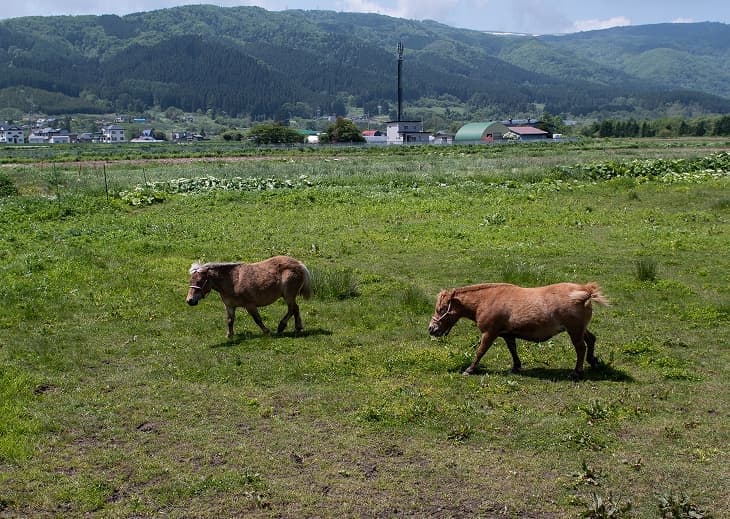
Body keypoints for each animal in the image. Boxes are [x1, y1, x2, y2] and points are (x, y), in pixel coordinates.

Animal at [426, 282, 608, 380]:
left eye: (441, 309)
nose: (431, 329)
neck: (486, 299)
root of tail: (585, 290)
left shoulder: (489, 333)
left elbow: (480, 351)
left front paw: (470, 369)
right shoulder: (507, 334)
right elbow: (513, 349)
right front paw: (516, 366)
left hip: (574, 330)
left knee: (581, 348)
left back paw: (577, 372)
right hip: (580, 328)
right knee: (591, 339)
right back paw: (593, 362)